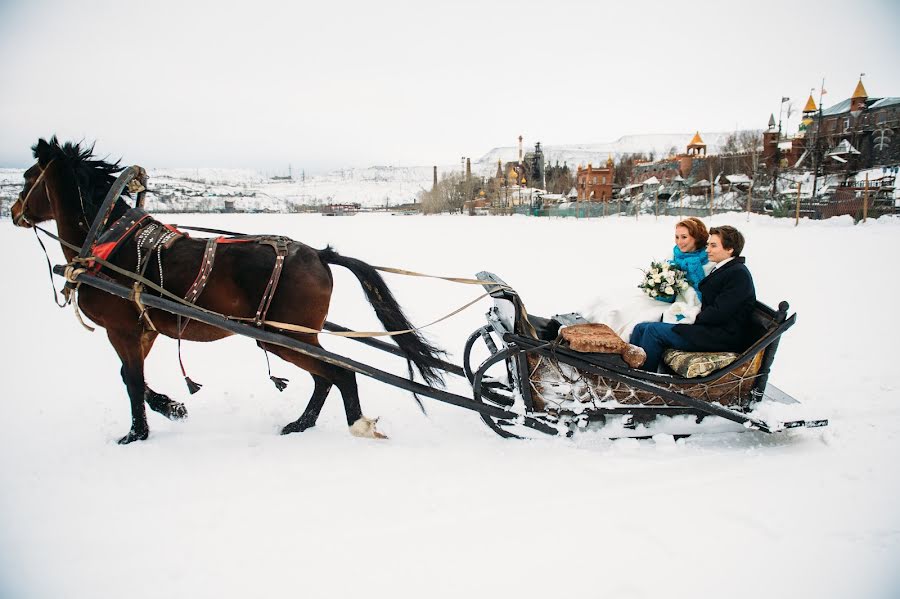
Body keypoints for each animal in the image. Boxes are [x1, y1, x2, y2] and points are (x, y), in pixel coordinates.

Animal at [10, 138, 446, 442]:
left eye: (29, 178)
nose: (14, 212)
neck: (109, 243)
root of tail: (321, 255)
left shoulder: (122, 328)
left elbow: (131, 381)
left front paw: (136, 433)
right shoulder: (144, 329)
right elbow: (131, 377)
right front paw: (171, 407)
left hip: (282, 336)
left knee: (339, 373)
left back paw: (355, 424)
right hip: (293, 336)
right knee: (326, 378)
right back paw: (300, 424)